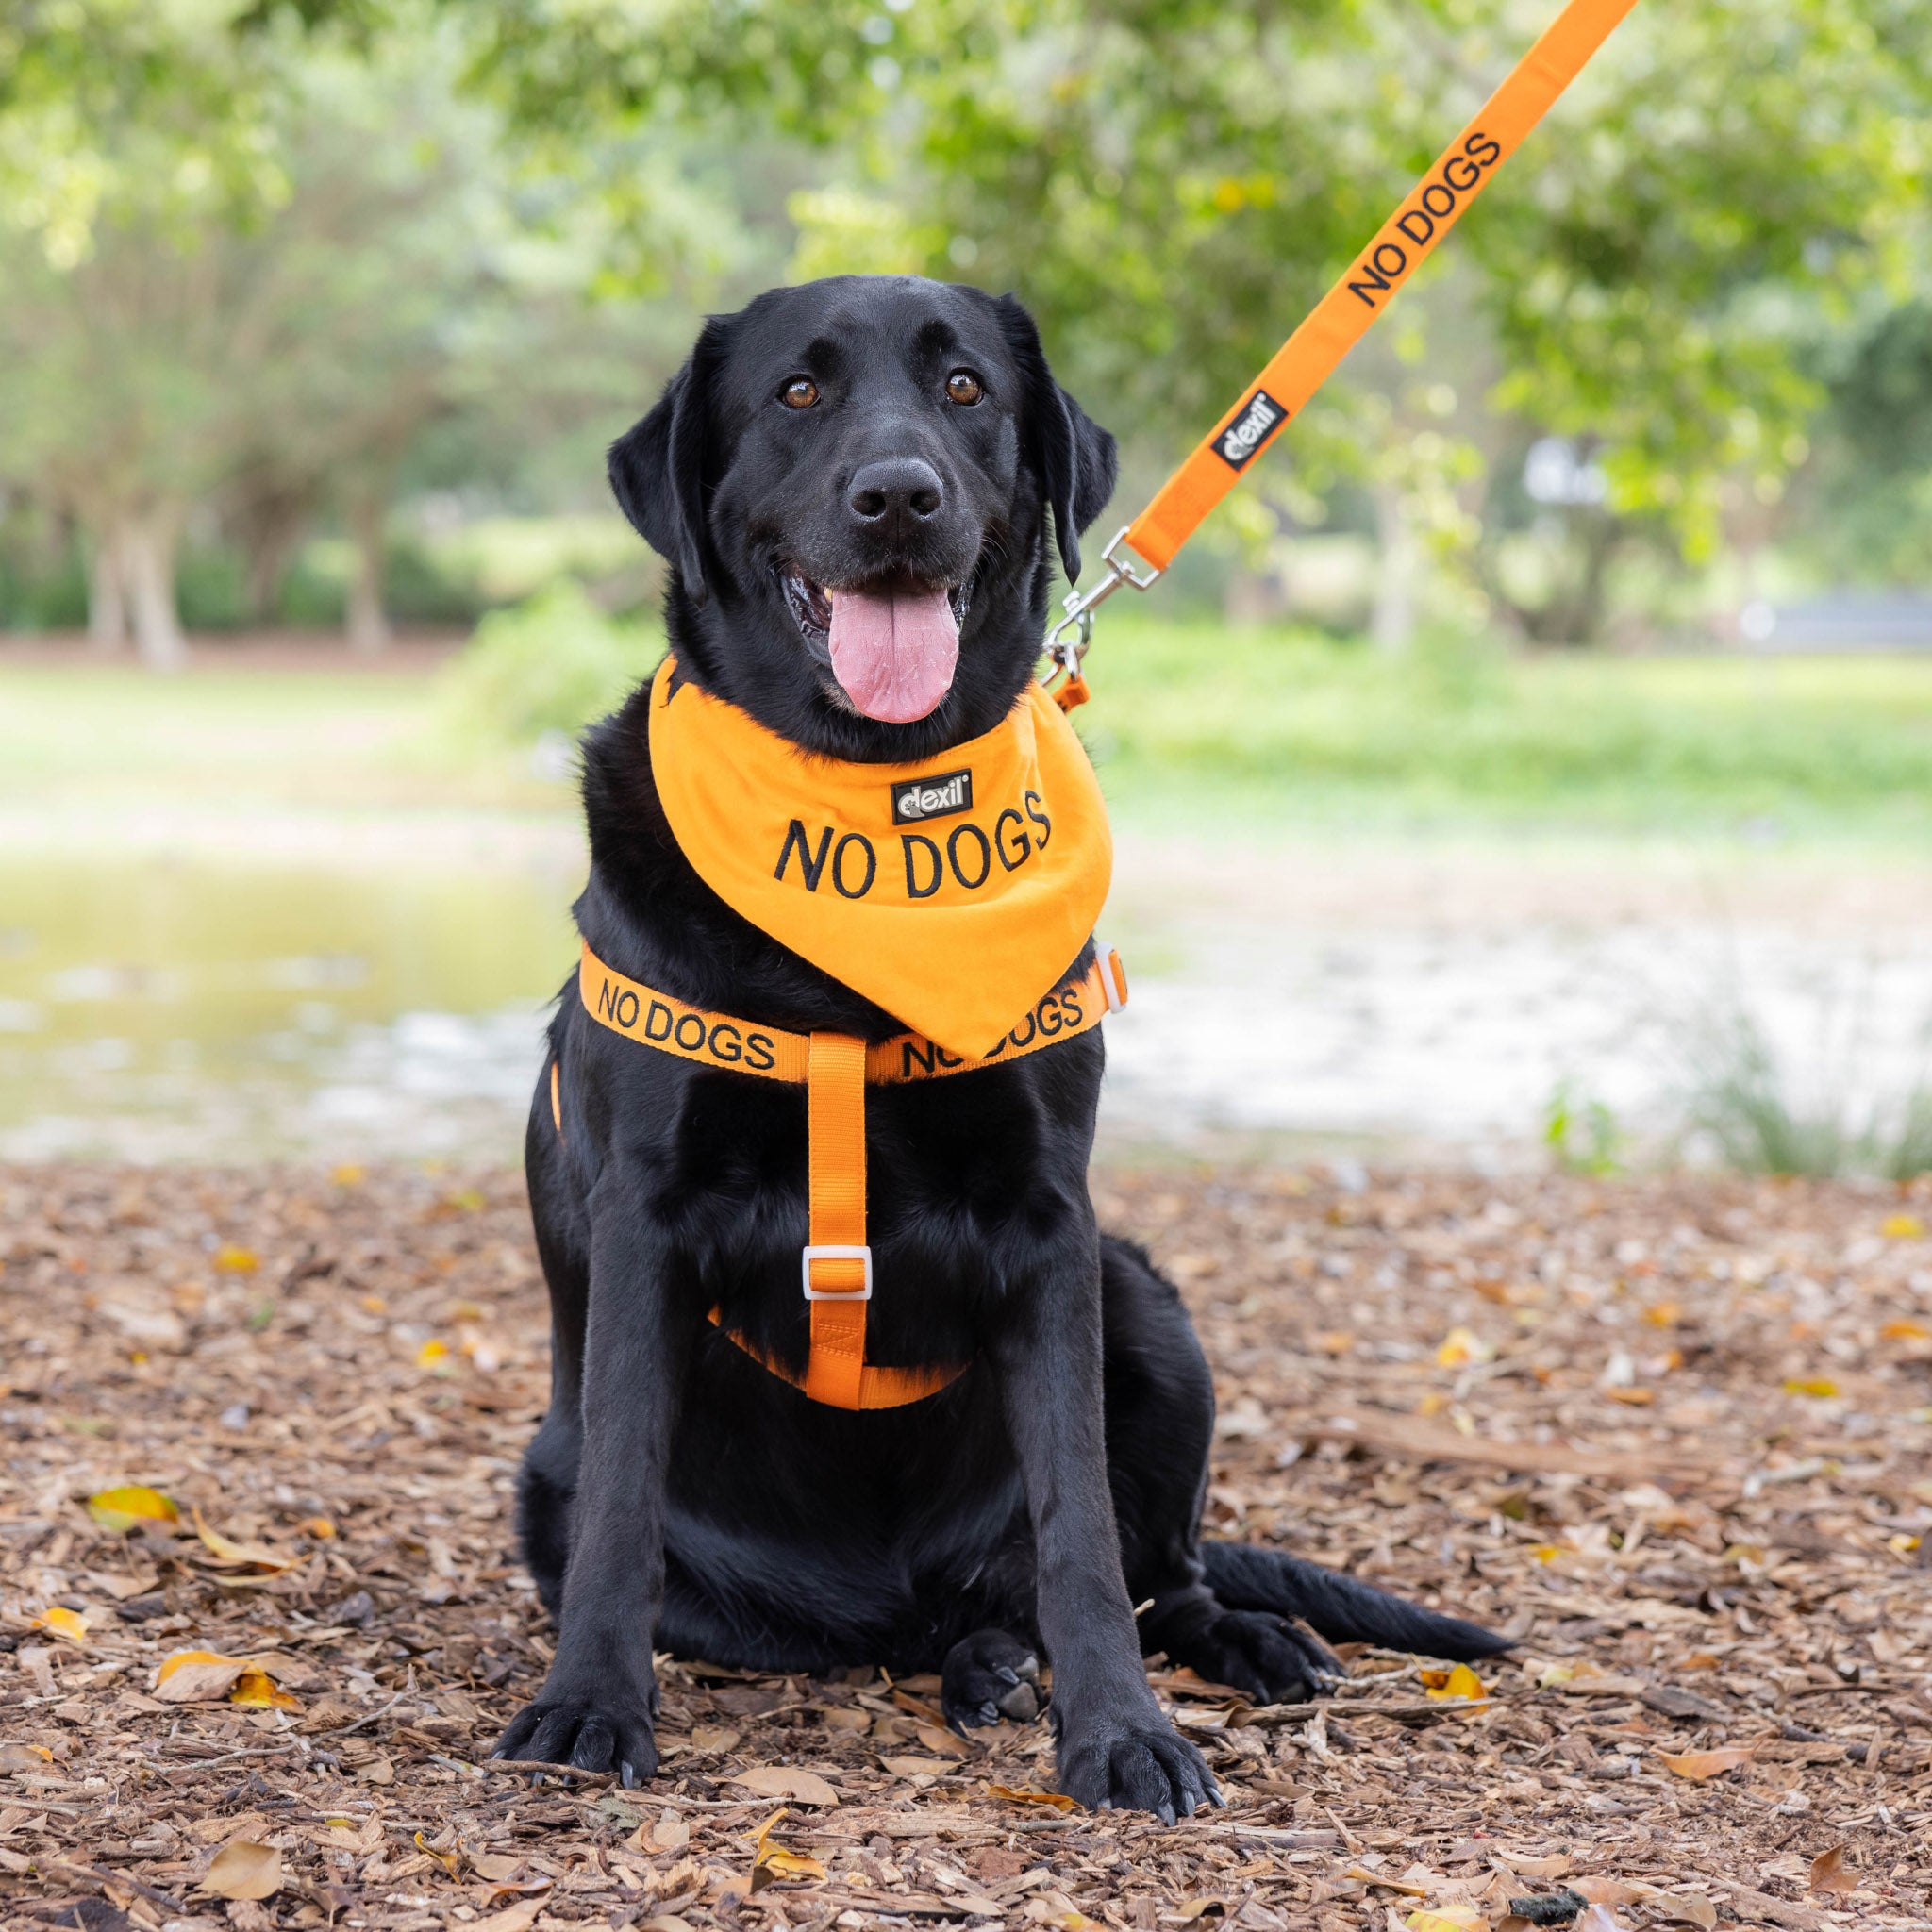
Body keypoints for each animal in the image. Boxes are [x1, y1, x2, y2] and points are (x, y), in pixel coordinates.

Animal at [491, 275, 1499, 1824]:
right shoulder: (642, 1224)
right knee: (880, 1612)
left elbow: (1076, 1519)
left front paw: (1126, 1734)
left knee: (1152, 1573)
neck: (870, 801)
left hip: (1147, 1300)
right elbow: (618, 1507)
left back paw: (1222, 1645)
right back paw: (978, 1665)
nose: (899, 495)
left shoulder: (1049, 1225)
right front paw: (589, 1707)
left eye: (966, 389)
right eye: (796, 393)